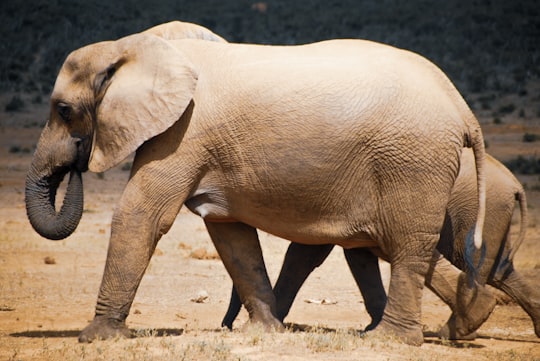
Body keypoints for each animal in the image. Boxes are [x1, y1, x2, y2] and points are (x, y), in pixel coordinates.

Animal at [25, 21, 490, 344]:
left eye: (63, 110)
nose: (78, 161)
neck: (132, 46)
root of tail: (462, 107)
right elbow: (231, 234)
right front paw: (266, 332)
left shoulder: (184, 133)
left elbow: (143, 214)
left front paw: (97, 337)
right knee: (400, 245)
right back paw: (471, 318)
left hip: (412, 160)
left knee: (407, 245)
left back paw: (389, 340)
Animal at [221, 149, 536, 338]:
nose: (226, 327)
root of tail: (515, 185)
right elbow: (355, 255)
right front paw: (372, 327)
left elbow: (306, 254)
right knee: (500, 271)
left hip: (479, 214)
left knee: (475, 265)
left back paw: (455, 330)